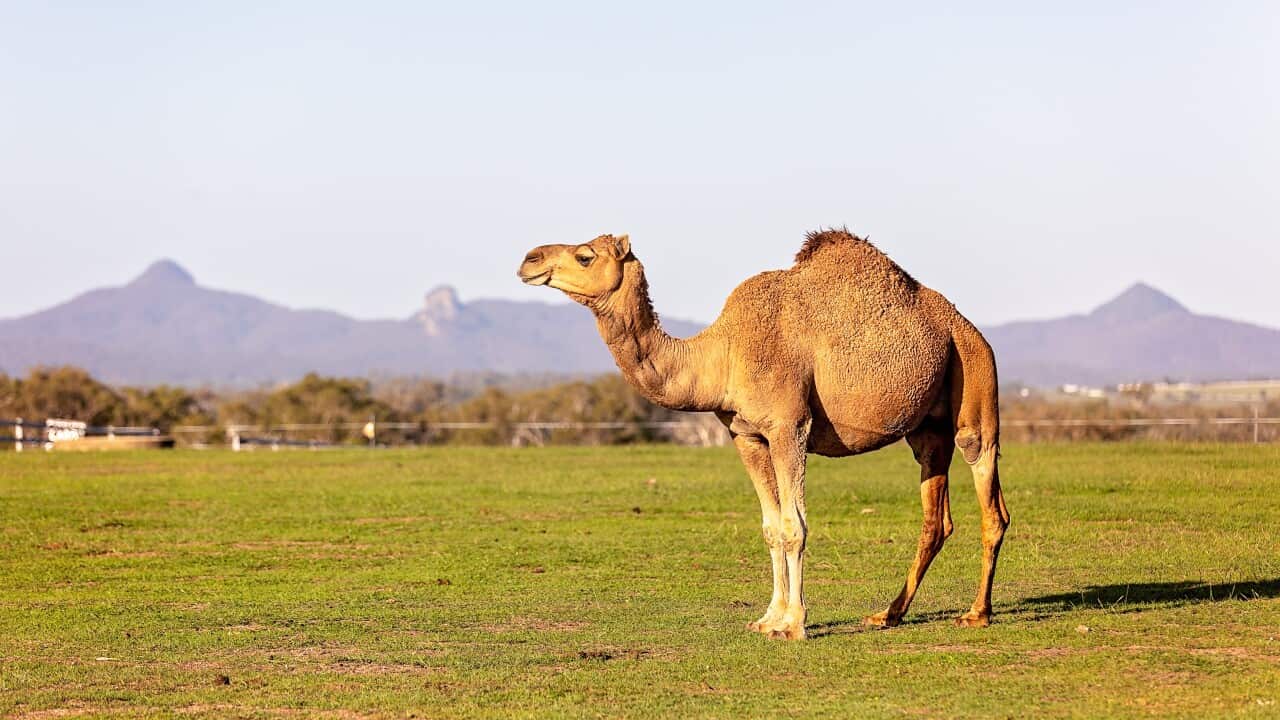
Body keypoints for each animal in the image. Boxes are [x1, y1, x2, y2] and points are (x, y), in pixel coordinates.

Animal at [517, 229, 1009, 640]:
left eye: (585, 255)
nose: (528, 258)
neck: (722, 355)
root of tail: (966, 327)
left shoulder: (788, 425)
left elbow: (794, 526)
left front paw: (794, 625)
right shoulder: (747, 435)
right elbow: (771, 528)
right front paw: (768, 618)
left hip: (974, 378)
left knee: (989, 492)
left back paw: (976, 613)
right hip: (927, 428)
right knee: (936, 515)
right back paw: (888, 614)